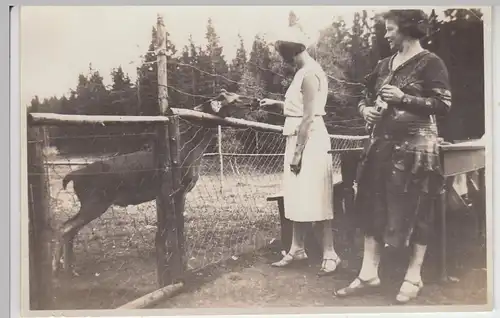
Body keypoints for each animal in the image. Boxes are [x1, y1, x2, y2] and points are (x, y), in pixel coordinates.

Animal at [53, 89, 258, 274]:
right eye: (229, 98)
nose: (254, 100)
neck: (192, 152)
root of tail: (72, 177)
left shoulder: (164, 194)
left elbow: (163, 231)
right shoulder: (179, 189)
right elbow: (178, 226)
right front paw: (181, 261)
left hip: (91, 202)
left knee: (69, 229)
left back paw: (69, 268)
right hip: (95, 200)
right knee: (64, 227)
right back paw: (59, 268)